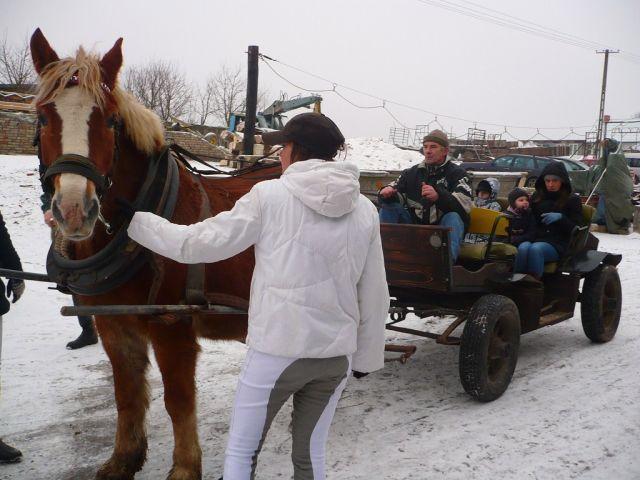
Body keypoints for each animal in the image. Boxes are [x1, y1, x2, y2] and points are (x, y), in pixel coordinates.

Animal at [30, 30, 278, 480]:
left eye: (110, 120)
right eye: (42, 118)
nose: (74, 210)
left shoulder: (171, 325)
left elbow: (178, 401)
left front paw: (185, 468)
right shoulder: (113, 325)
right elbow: (126, 394)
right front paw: (123, 459)